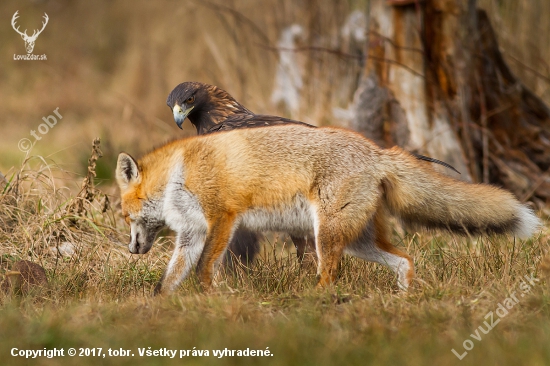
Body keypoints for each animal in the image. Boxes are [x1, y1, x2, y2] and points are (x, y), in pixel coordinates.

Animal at [116, 124, 544, 294]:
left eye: (124, 216)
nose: (132, 249)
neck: (179, 173)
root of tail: (378, 152)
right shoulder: (193, 231)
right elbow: (172, 276)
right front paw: (159, 302)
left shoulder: (223, 217)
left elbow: (205, 267)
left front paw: (210, 297)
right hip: (357, 241)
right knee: (405, 259)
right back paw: (403, 298)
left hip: (328, 235)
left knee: (330, 275)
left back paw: (313, 302)